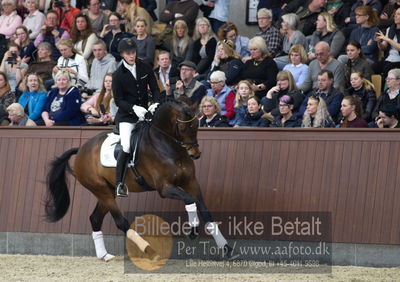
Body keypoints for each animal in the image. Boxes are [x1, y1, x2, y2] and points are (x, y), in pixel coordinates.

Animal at [44, 100, 231, 262]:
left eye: (197, 125)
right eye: (183, 127)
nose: (195, 154)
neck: (167, 146)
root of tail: (82, 149)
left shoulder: (191, 182)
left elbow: (205, 210)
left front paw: (226, 247)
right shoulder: (164, 188)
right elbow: (189, 200)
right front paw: (193, 230)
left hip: (107, 191)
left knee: (95, 218)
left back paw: (105, 255)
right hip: (101, 190)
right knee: (121, 222)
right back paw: (150, 251)